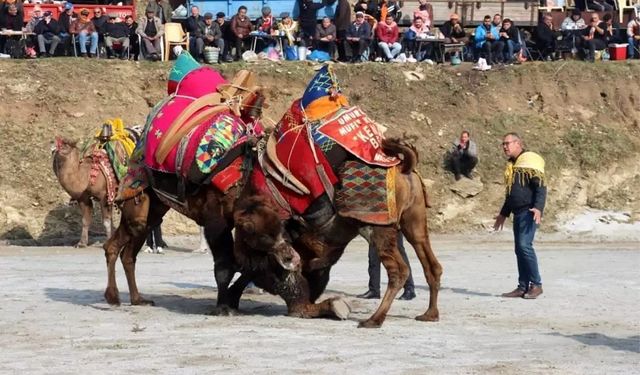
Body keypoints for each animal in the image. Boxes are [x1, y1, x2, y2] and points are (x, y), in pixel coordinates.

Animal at [232, 139, 442, 328]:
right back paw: (429, 314)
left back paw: (374, 320)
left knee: (399, 271)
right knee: (431, 264)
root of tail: (404, 168)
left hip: (378, 226)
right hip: (413, 221)